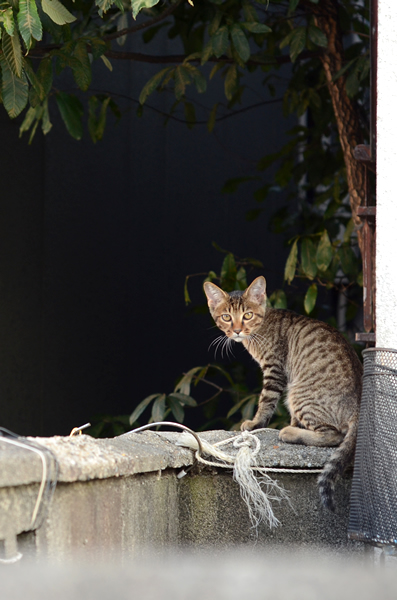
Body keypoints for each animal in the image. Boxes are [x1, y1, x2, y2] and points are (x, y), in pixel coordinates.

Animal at [204, 276, 362, 510]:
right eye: (226, 317)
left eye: (247, 315)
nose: (238, 330)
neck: (261, 328)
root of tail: (359, 408)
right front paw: (293, 423)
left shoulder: (274, 370)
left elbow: (265, 402)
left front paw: (255, 423)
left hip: (298, 394)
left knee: (334, 435)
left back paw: (290, 433)